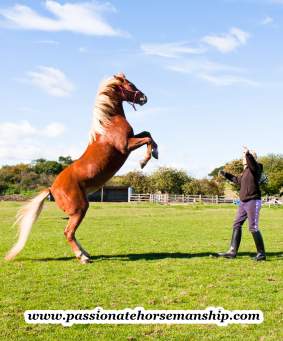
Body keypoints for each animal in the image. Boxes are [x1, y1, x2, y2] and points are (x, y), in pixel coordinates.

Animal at [5, 72, 159, 262]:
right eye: (130, 85)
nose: (144, 98)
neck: (108, 124)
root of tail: (51, 188)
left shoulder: (132, 139)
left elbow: (148, 134)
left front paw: (155, 153)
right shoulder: (126, 146)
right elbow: (147, 138)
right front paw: (144, 161)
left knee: (70, 233)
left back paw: (85, 253)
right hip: (79, 209)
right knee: (68, 232)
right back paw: (83, 257)